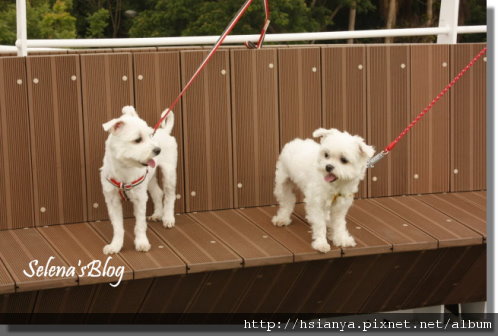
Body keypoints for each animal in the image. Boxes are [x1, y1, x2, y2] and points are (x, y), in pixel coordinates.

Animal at [99, 106, 177, 253]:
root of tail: (164, 131)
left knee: (170, 195)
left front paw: (141, 243)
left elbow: (140, 225)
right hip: (150, 179)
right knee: (158, 193)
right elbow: (117, 227)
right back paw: (158, 214)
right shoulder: (112, 200)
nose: (158, 150)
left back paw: (168, 218)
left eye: (150, 136)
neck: (124, 169)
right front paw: (115, 245)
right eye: (137, 140)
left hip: (169, 172)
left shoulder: (139, 198)